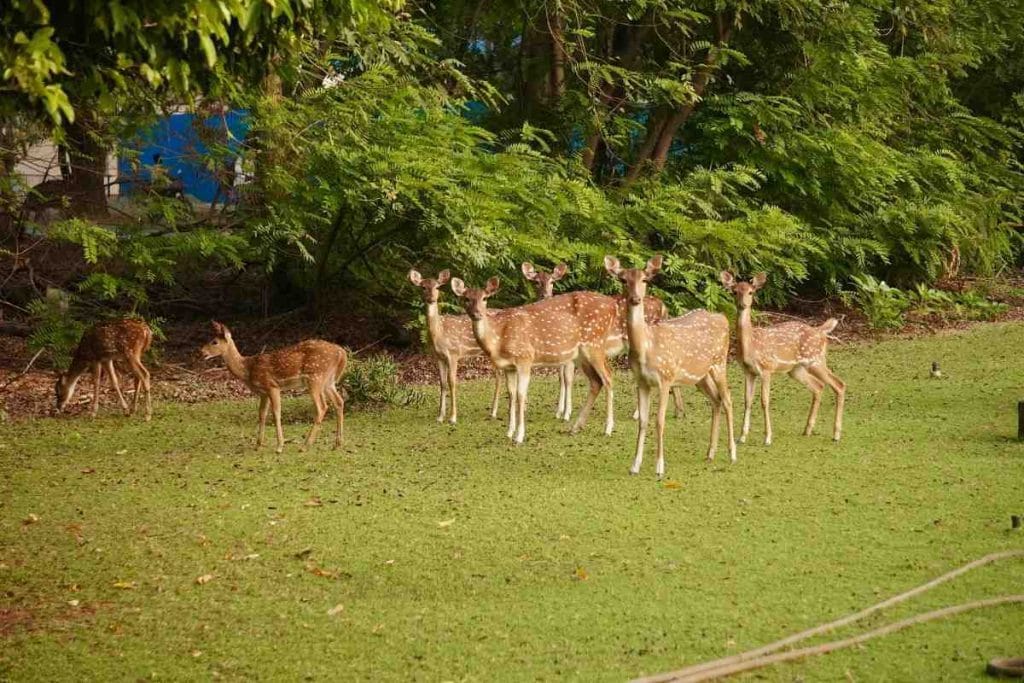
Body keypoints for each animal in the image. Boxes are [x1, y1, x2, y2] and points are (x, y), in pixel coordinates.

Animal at [201, 321, 346, 453]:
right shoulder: (263, 392)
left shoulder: (272, 386)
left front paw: (279, 446)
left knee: (322, 407)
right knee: (339, 401)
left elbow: (276, 413)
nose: (201, 351)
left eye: (214, 342)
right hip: (328, 381)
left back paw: (305, 446)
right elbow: (262, 414)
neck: (247, 369)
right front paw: (258, 445)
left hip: (315, 378)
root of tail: (341, 353)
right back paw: (337, 444)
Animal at [408, 269, 502, 423]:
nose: (431, 298)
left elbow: (452, 382)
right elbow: (442, 383)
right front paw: (440, 417)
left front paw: (452, 417)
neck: (439, 334)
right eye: (423, 287)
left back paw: (493, 413)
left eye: (437, 287)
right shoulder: (438, 357)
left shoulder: (454, 353)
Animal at [450, 277, 620, 445]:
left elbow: (520, 395)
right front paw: (509, 432)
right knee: (596, 381)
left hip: (594, 343)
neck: (498, 341)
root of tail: (612, 306)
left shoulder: (525, 357)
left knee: (608, 377)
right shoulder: (509, 367)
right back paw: (576, 427)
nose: (477, 314)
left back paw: (608, 428)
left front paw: (519, 436)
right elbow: (511, 395)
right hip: (580, 355)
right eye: (466, 299)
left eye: (485, 298)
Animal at [605, 255, 736, 478]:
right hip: (701, 375)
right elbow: (643, 421)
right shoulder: (642, 382)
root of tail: (724, 318)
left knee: (727, 399)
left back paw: (732, 453)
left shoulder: (665, 378)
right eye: (623, 280)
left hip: (720, 362)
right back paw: (710, 453)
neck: (646, 347)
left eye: (645, 280)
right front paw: (634, 466)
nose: (635, 299)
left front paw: (659, 467)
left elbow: (659, 421)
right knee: (716, 400)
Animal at [719, 271, 845, 445]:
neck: (751, 346)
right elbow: (747, 401)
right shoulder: (748, 371)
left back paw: (836, 435)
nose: (743, 304)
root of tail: (820, 332)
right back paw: (807, 430)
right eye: (734, 292)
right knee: (818, 386)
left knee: (839, 384)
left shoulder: (766, 368)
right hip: (796, 369)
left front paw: (767, 438)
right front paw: (742, 437)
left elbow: (764, 401)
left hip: (816, 360)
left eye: (751, 292)